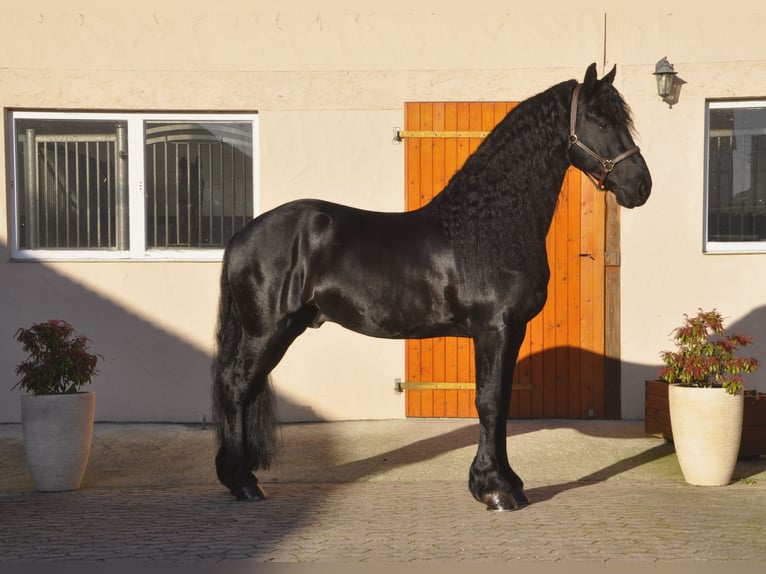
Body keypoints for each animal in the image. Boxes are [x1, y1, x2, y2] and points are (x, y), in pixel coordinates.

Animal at [211, 63, 651, 511]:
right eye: (601, 121)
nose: (641, 186)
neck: (488, 227)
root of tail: (242, 235)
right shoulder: (493, 329)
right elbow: (488, 402)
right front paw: (495, 489)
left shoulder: (513, 331)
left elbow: (503, 403)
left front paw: (507, 481)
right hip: (266, 331)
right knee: (235, 386)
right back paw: (243, 481)